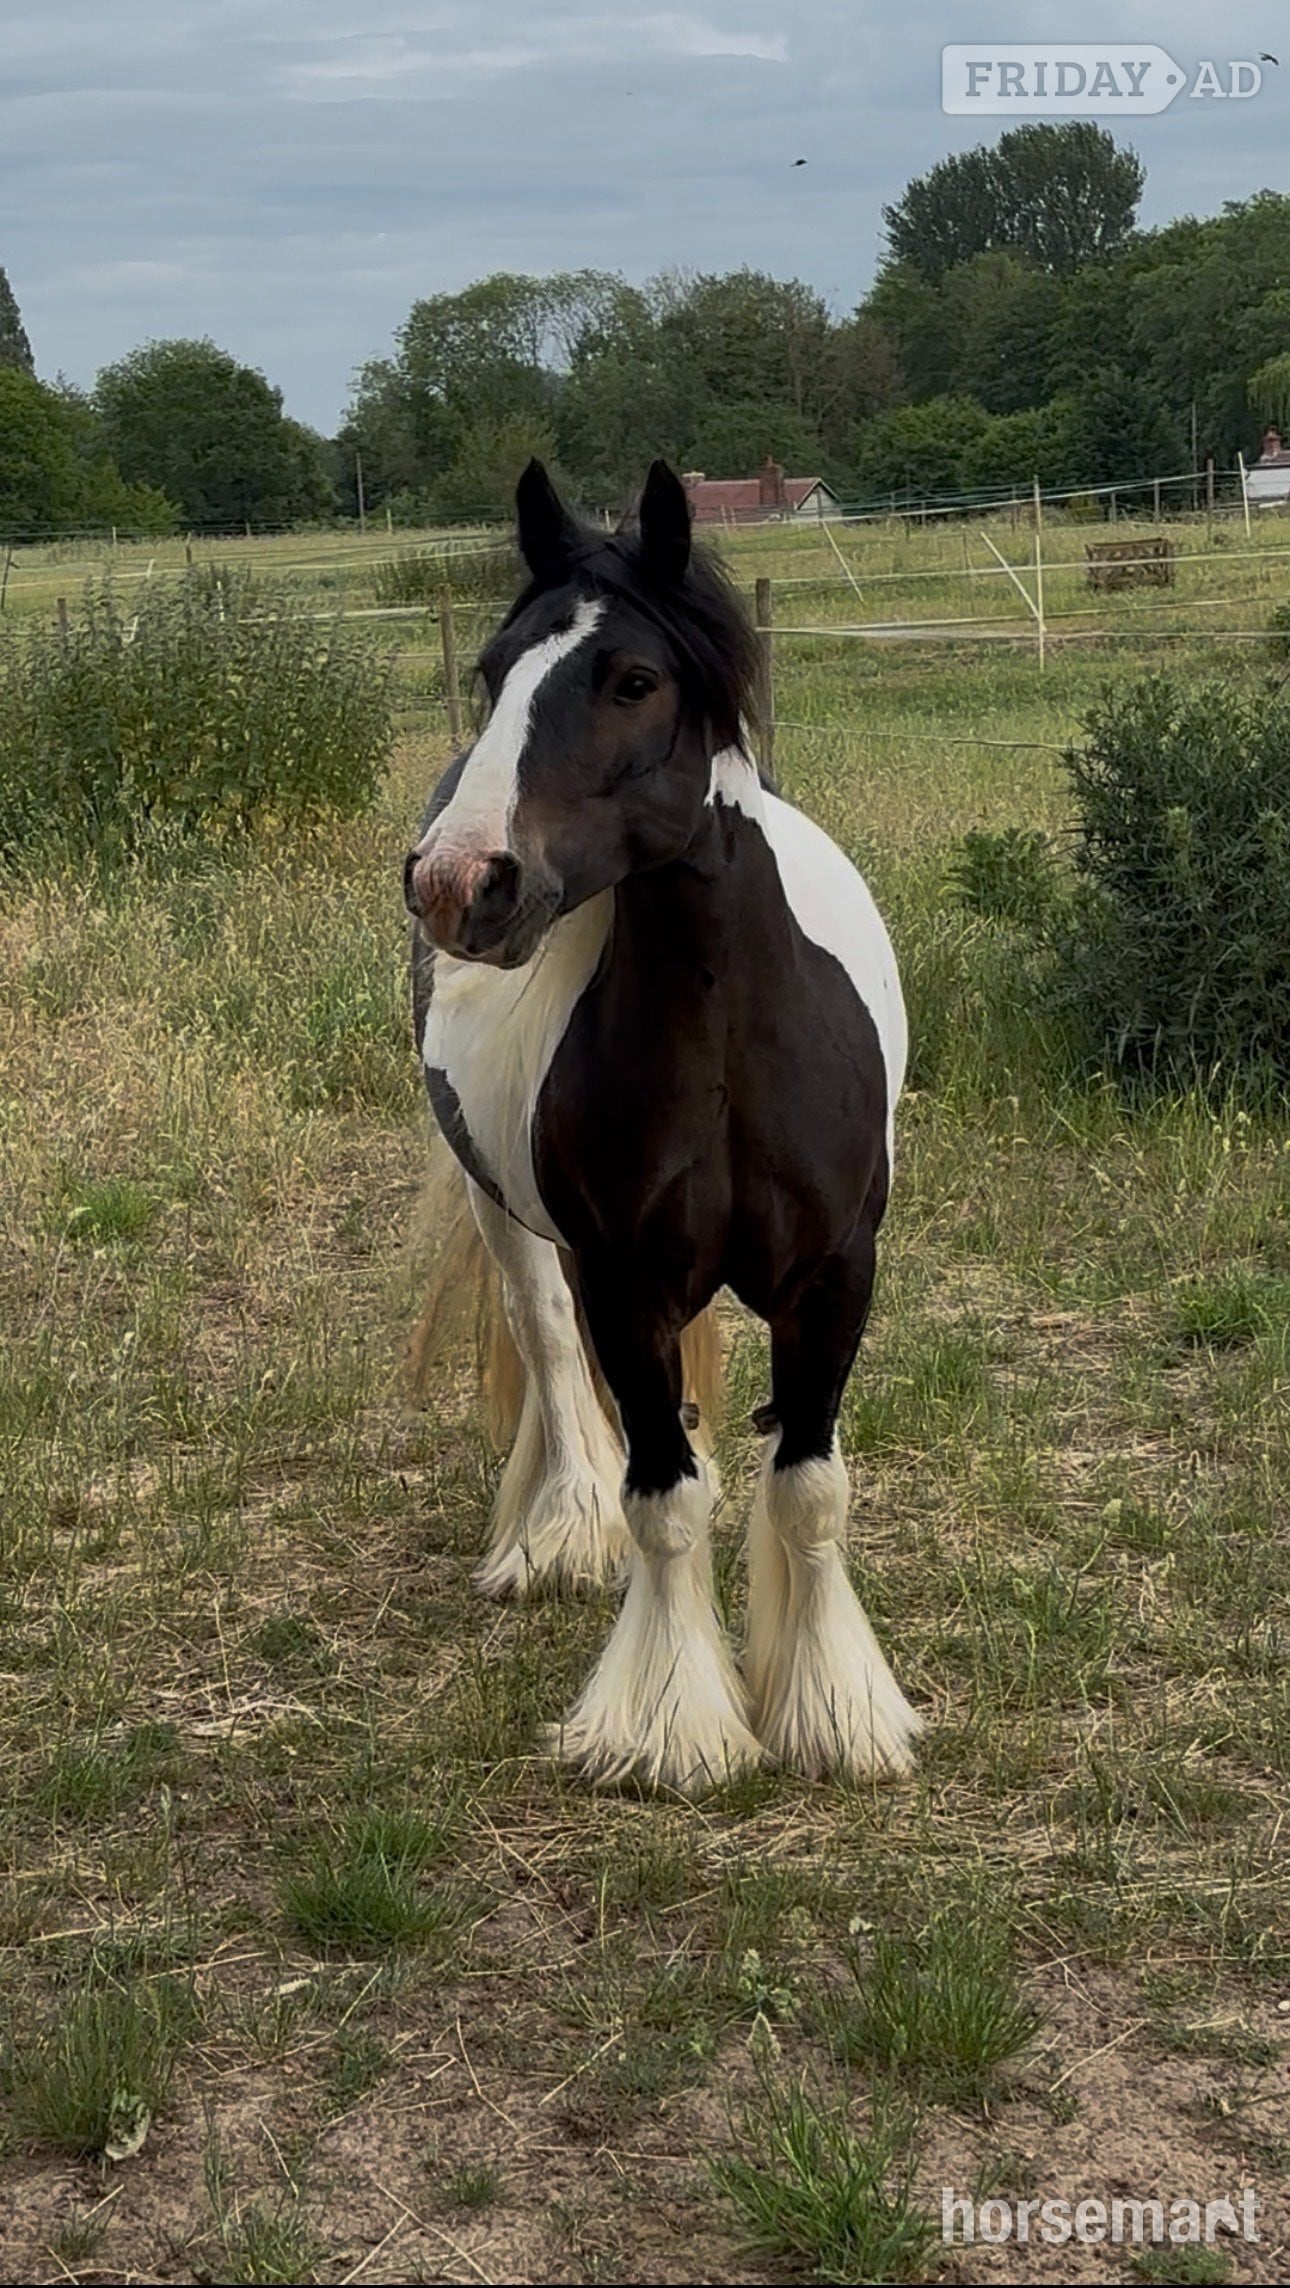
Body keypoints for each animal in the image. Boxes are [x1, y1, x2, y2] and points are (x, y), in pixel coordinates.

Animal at [404, 458, 922, 1796]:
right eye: (496, 668)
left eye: (633, 679)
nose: (455, 880)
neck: (732, 1033)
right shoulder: (621, 1280)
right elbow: (663, 1498)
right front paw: (673, 1721)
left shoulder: (835, 1273)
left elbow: (811, 1487)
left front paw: (832, 1709)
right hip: (504, 1212)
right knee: (550, 1353)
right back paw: (559, 1530)